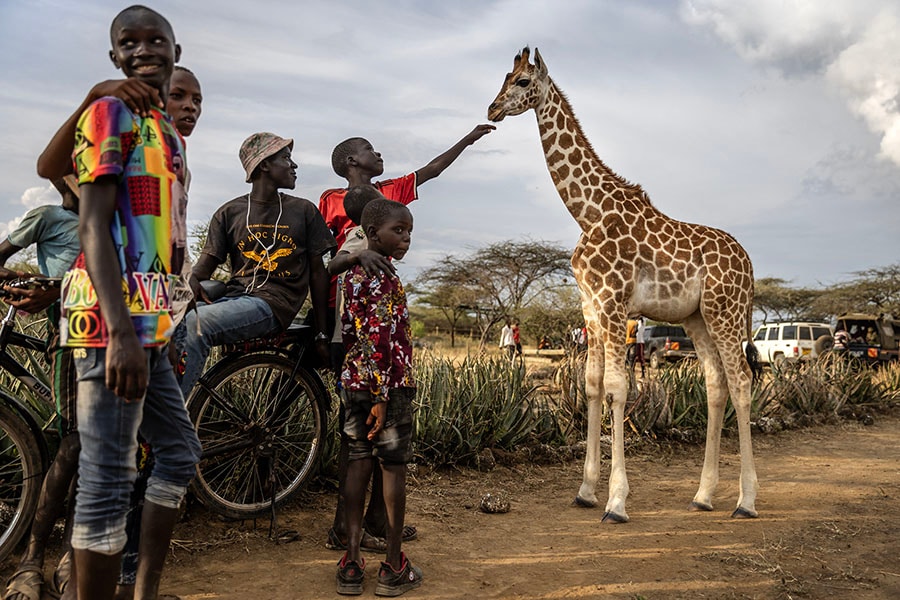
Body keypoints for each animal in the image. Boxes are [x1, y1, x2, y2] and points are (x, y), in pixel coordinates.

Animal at [492, 49, 760, 524]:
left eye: (523, 81)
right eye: (505, 76)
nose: (491, 109)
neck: (588, 211)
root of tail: (749, 264)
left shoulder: (614, 304)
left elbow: (618, 388)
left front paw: (616, 502)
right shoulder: (590, 308)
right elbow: (592, 385)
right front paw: (585, 490)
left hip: (725, 311)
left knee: (742, 381)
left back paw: (746, 501)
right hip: (697, 317)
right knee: (716, 383)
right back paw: (703, 495)